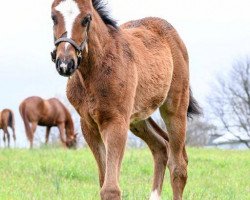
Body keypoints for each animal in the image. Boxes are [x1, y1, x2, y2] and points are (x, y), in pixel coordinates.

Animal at [49, 0, 200, 199]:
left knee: (178, 166)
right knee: (161, 146)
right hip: (137, 118)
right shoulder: (88, 125)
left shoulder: (115, 121)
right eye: (53, 17)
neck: (94, 72)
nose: (65, 63)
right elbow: (103, 179)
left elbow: (110, 188)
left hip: (174, 108)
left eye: (86, 18)